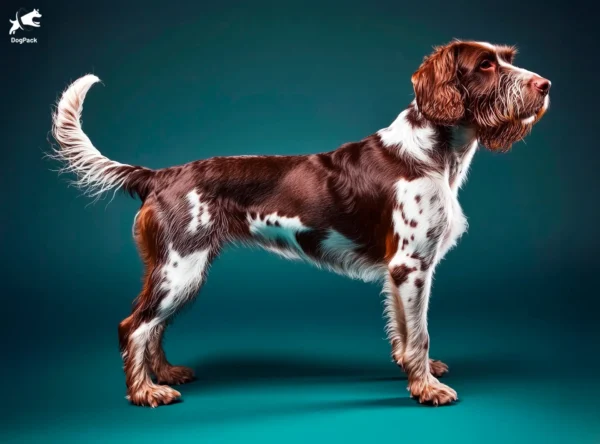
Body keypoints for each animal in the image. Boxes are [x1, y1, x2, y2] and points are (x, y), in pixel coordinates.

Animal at [50, 40, 548, 408]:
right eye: (485, 64)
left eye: (508, 57)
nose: (545, 85)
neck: (432, 153)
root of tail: (161, 175)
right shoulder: (411, 265)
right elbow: (419, 333)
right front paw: (427, 389)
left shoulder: (401, 270)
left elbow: (405, 331)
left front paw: (415, 373)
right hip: (181, 268)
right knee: (133, 325)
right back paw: (145, 393)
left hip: (178, 269)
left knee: (153, 325)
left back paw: (167, 374)